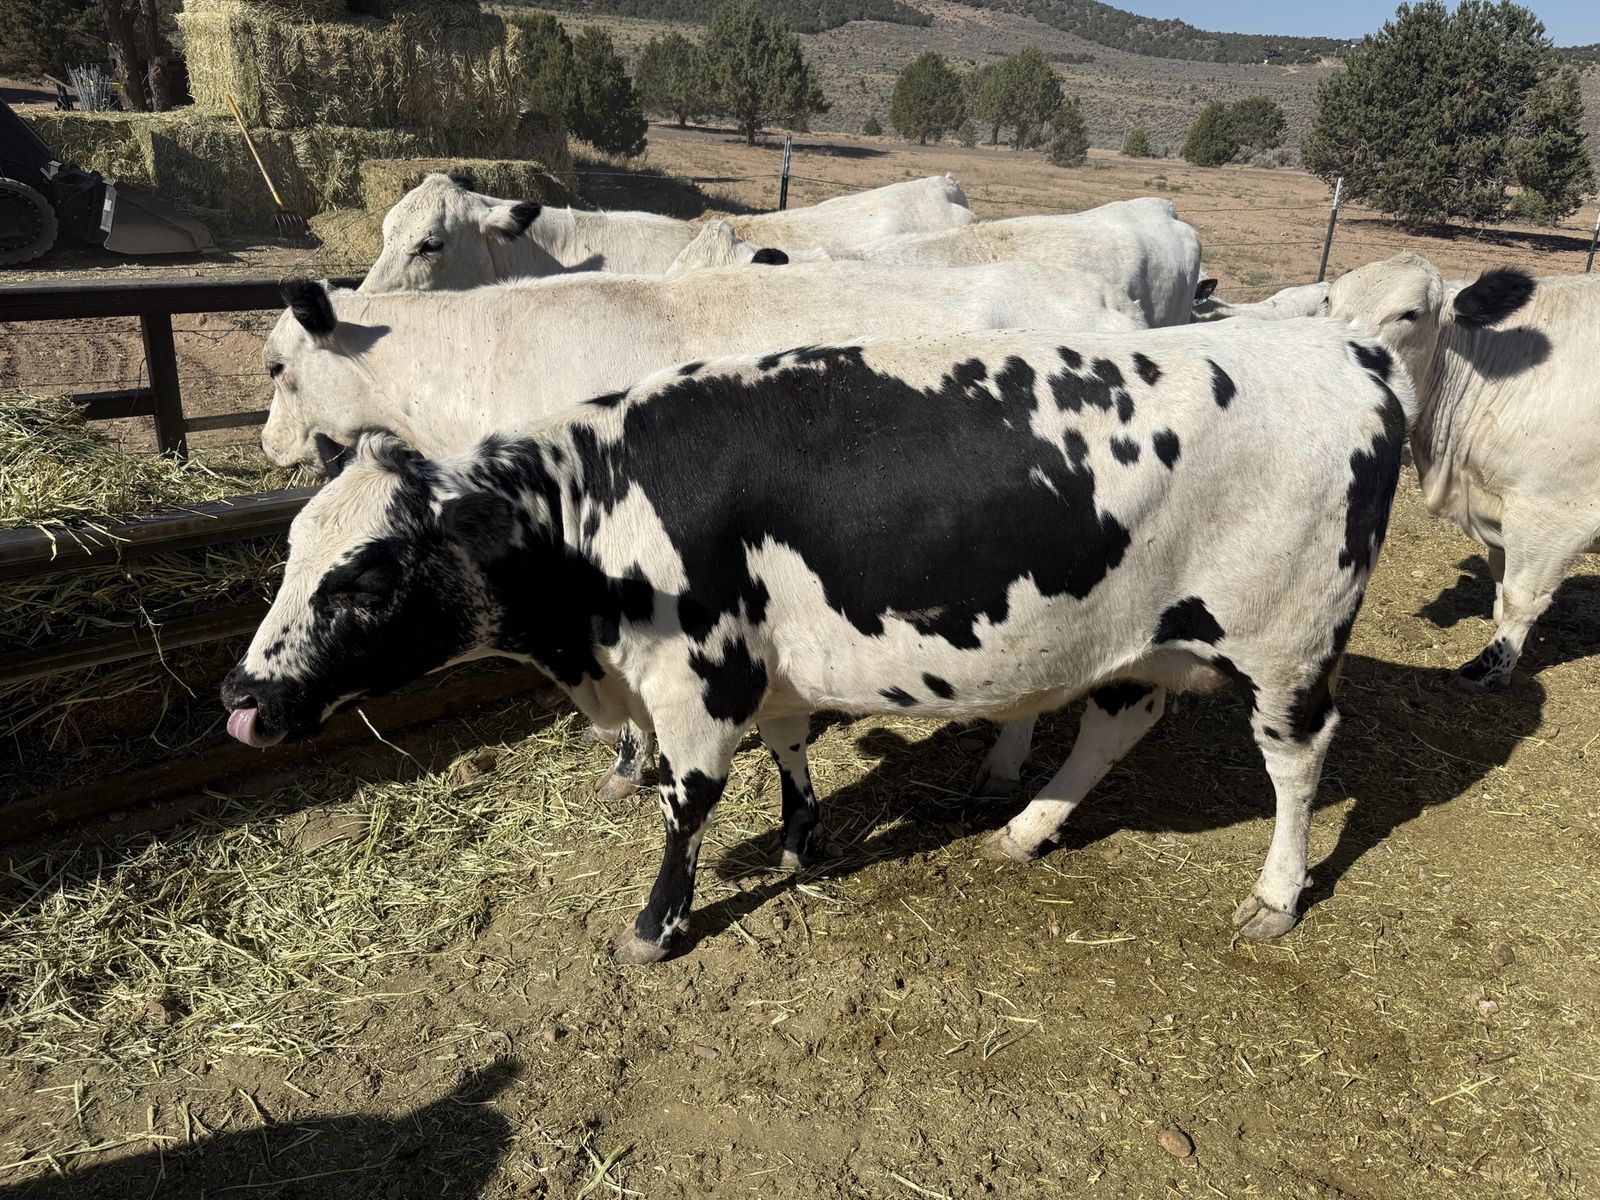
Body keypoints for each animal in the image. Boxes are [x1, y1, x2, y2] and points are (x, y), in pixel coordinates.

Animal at [224, 320, 1411, 963]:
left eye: (367, 579)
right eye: (288, 549)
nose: (242, 699)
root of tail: (1344, 348)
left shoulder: (697, 678)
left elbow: (687, 805)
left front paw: (656, 925)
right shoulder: (769, 663)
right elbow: (790, 746)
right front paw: (802, 844)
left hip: (1285, 645)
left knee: (1297, 761)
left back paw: (1275, 895)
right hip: (1137, 639)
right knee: (1117, 720)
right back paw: (1027, 826)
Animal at [1327, 251, 1600, 687]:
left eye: (1410, 314)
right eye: (1328, 302)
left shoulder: (1553, 516)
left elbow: (1522, 598)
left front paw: (1492, 666)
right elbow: (1500, 581)